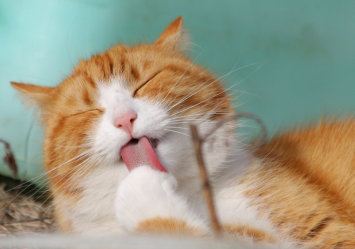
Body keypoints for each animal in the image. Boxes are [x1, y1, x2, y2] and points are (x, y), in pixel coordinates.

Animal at [10, 16, 355, 248]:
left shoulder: (327, 233)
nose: (124, 118)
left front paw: (144, 192)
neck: (185, 194)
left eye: (145, 83)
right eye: (87, 111)